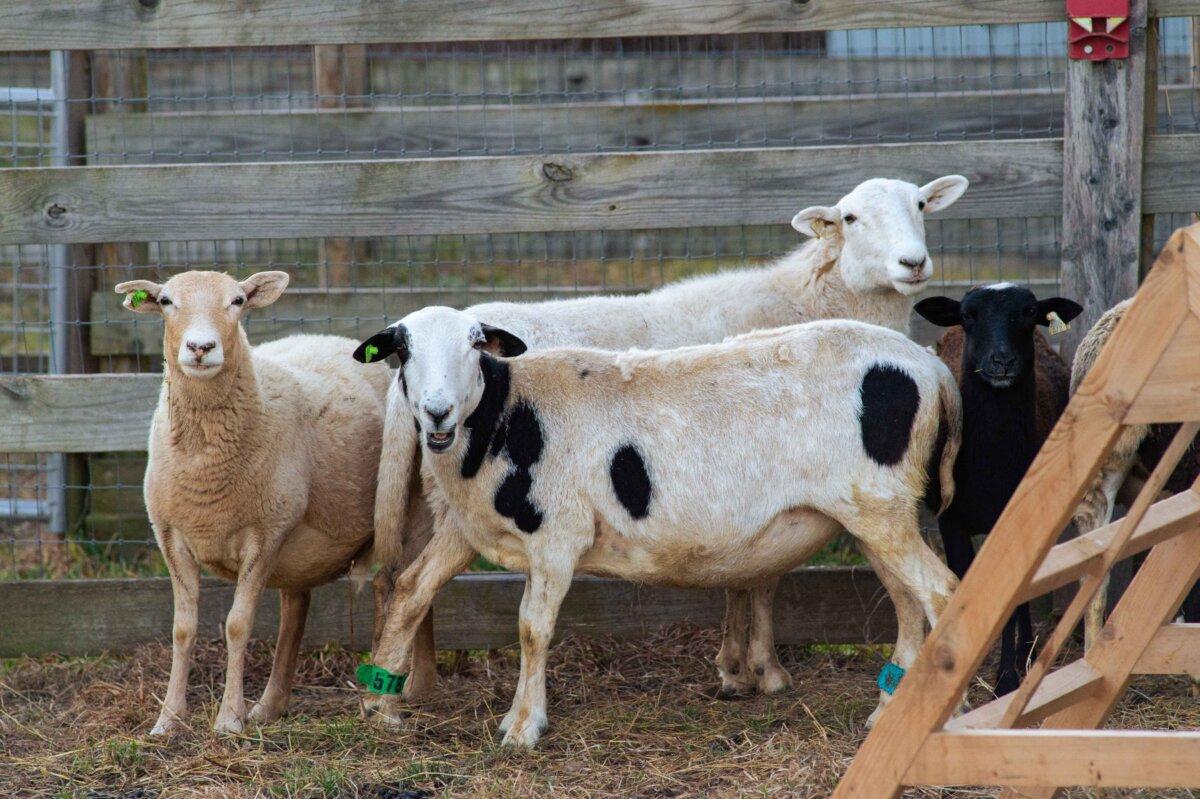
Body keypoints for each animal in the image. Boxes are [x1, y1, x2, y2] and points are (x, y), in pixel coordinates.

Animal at [113, 271, 391, 736]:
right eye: (166, 301)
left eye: (237, 301)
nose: (201, 347)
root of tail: (337, 338)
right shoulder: (171, 535)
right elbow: (182, 629)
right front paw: (169, 718)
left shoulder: (265, 535)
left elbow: (237, 626)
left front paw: (228, 719)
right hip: (298, 547)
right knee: (296, 609)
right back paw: (269, 706)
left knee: (394, 595)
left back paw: (387, 697)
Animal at [356, 306, 962, 747]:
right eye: (403, 350)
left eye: (475, 345)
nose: (436, 412)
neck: (505, 421)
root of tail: (931, 367)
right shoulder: (466, 529)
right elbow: (412, 591)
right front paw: (379, 703)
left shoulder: (557, 537)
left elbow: (532, 628)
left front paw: (523, 727)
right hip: (875, 512)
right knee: (908, 603)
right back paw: (890, 710)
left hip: (879, 506)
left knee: (940, 593)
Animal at [372, 174, 971, 703]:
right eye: (851, 218)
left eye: (920, 205)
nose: (913, 264)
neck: (806, 297)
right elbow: (759, 579)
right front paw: (753, 668)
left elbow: (751, 572)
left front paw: (743, 666)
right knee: (414, 583)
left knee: (410, 584)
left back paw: (407, 687)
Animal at [915, 283, 1082, 695]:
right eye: (969, 315)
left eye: (1029, 312)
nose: (1002, 361)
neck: (991, 460)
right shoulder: (952, 521)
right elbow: (966, 582)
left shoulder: (1019, 518)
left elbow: (1012, 595)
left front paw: (1007, 676)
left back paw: (1024, 652)